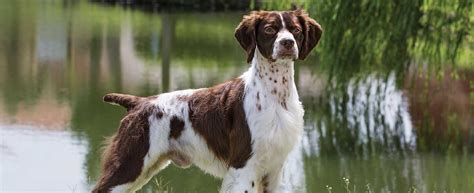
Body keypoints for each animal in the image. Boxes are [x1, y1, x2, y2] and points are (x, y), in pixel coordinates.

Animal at [91, 9, 322, 193]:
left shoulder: (273, 169)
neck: (274, 95)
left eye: (296, 30)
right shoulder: (243, 165)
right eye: (269, 29)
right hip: (130, 163)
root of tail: (137, 102)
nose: (287, 43)